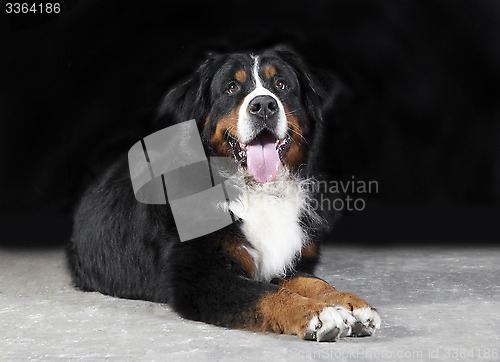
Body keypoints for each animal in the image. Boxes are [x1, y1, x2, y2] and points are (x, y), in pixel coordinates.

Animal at [66, 47, 378, 342]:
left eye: (281, 84)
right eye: (231, 87)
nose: (263, 106)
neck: (257, 189)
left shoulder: (290, 263)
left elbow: (316, 283)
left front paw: (351, 304)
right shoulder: (201, 278)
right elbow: (266, 295)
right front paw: (318, 313)